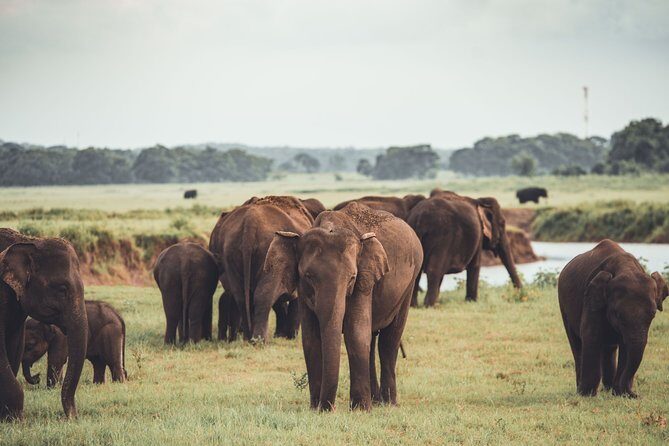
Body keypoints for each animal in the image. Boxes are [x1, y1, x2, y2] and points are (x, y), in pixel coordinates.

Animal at [0, 228, 88, 420]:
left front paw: (7, 419)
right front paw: (17, 420)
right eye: (62, 289)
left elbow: (14, 347)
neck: (29, 241)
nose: (72, 416)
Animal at [209, 196, 315, 342]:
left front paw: (281, 335)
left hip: (230, 251)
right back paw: (259, 340)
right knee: (263, 294)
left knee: (241, 296)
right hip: (269, 251)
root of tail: (250, 222)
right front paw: (290, 337)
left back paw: (248, 338)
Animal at [264, 202, 423, 411]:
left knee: (389, 341)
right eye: (308, 276)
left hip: (410, 282)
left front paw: (360, 410)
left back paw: (388, 404)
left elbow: (355, 333)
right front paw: (316, 409)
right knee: (372, 340)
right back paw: (376, 401)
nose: (326, 407)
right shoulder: (303, 291)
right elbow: (311, 338)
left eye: (352, 278)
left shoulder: (364, 280)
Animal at [558, 239, 668, 398]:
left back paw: (608, 389)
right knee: (576, 344)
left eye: (653, 314)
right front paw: (587, 395)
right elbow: (591, 336)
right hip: (563, 304)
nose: (634, 394)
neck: (626, 268)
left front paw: (621, 394)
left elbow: (626, 347)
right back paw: (582, 390)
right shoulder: (591, 300)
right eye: (618, 315)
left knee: (609, 348)